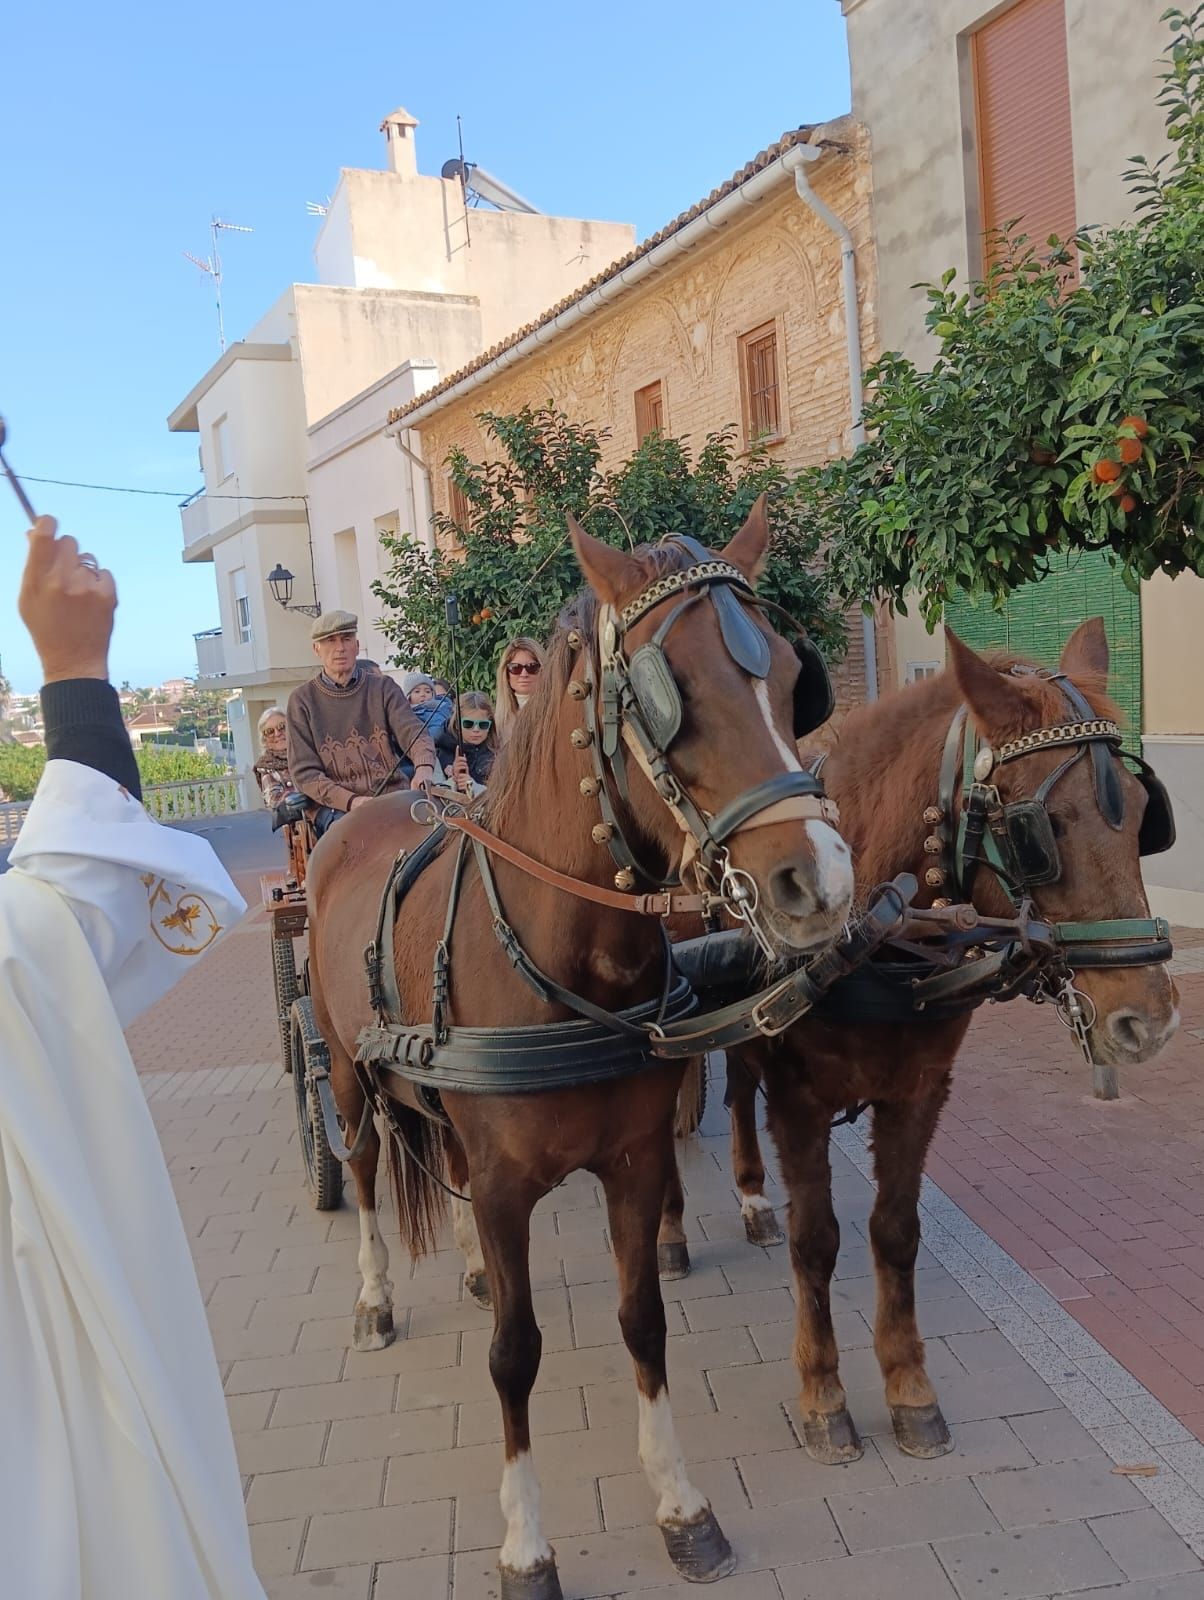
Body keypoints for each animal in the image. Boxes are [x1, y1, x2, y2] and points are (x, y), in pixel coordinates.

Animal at [305, 508, 851, 1600]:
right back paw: (376, 1299)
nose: (818, 882)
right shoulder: (509, 1185)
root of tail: (374, 808)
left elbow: (644, 1319)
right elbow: (515, 1354)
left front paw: (682, 1506)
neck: (567, 960)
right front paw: (526, 1545)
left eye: (787, 675)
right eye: (669, 695)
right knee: (367, 1167)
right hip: (345, 1074)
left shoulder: (634, 1164)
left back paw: (471, 1266)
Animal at [669, 617, 1178, 1465]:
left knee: (736, 1087)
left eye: (1144, 814)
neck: (876, 928)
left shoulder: (918, 1091)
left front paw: (909, 1389)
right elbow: (817, 1240)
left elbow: (894, 1232)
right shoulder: (800, 1099)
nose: (1151, 1018)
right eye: (1041, 828)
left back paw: (750, 1195)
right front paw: (824, 1396)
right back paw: (675, 1228)